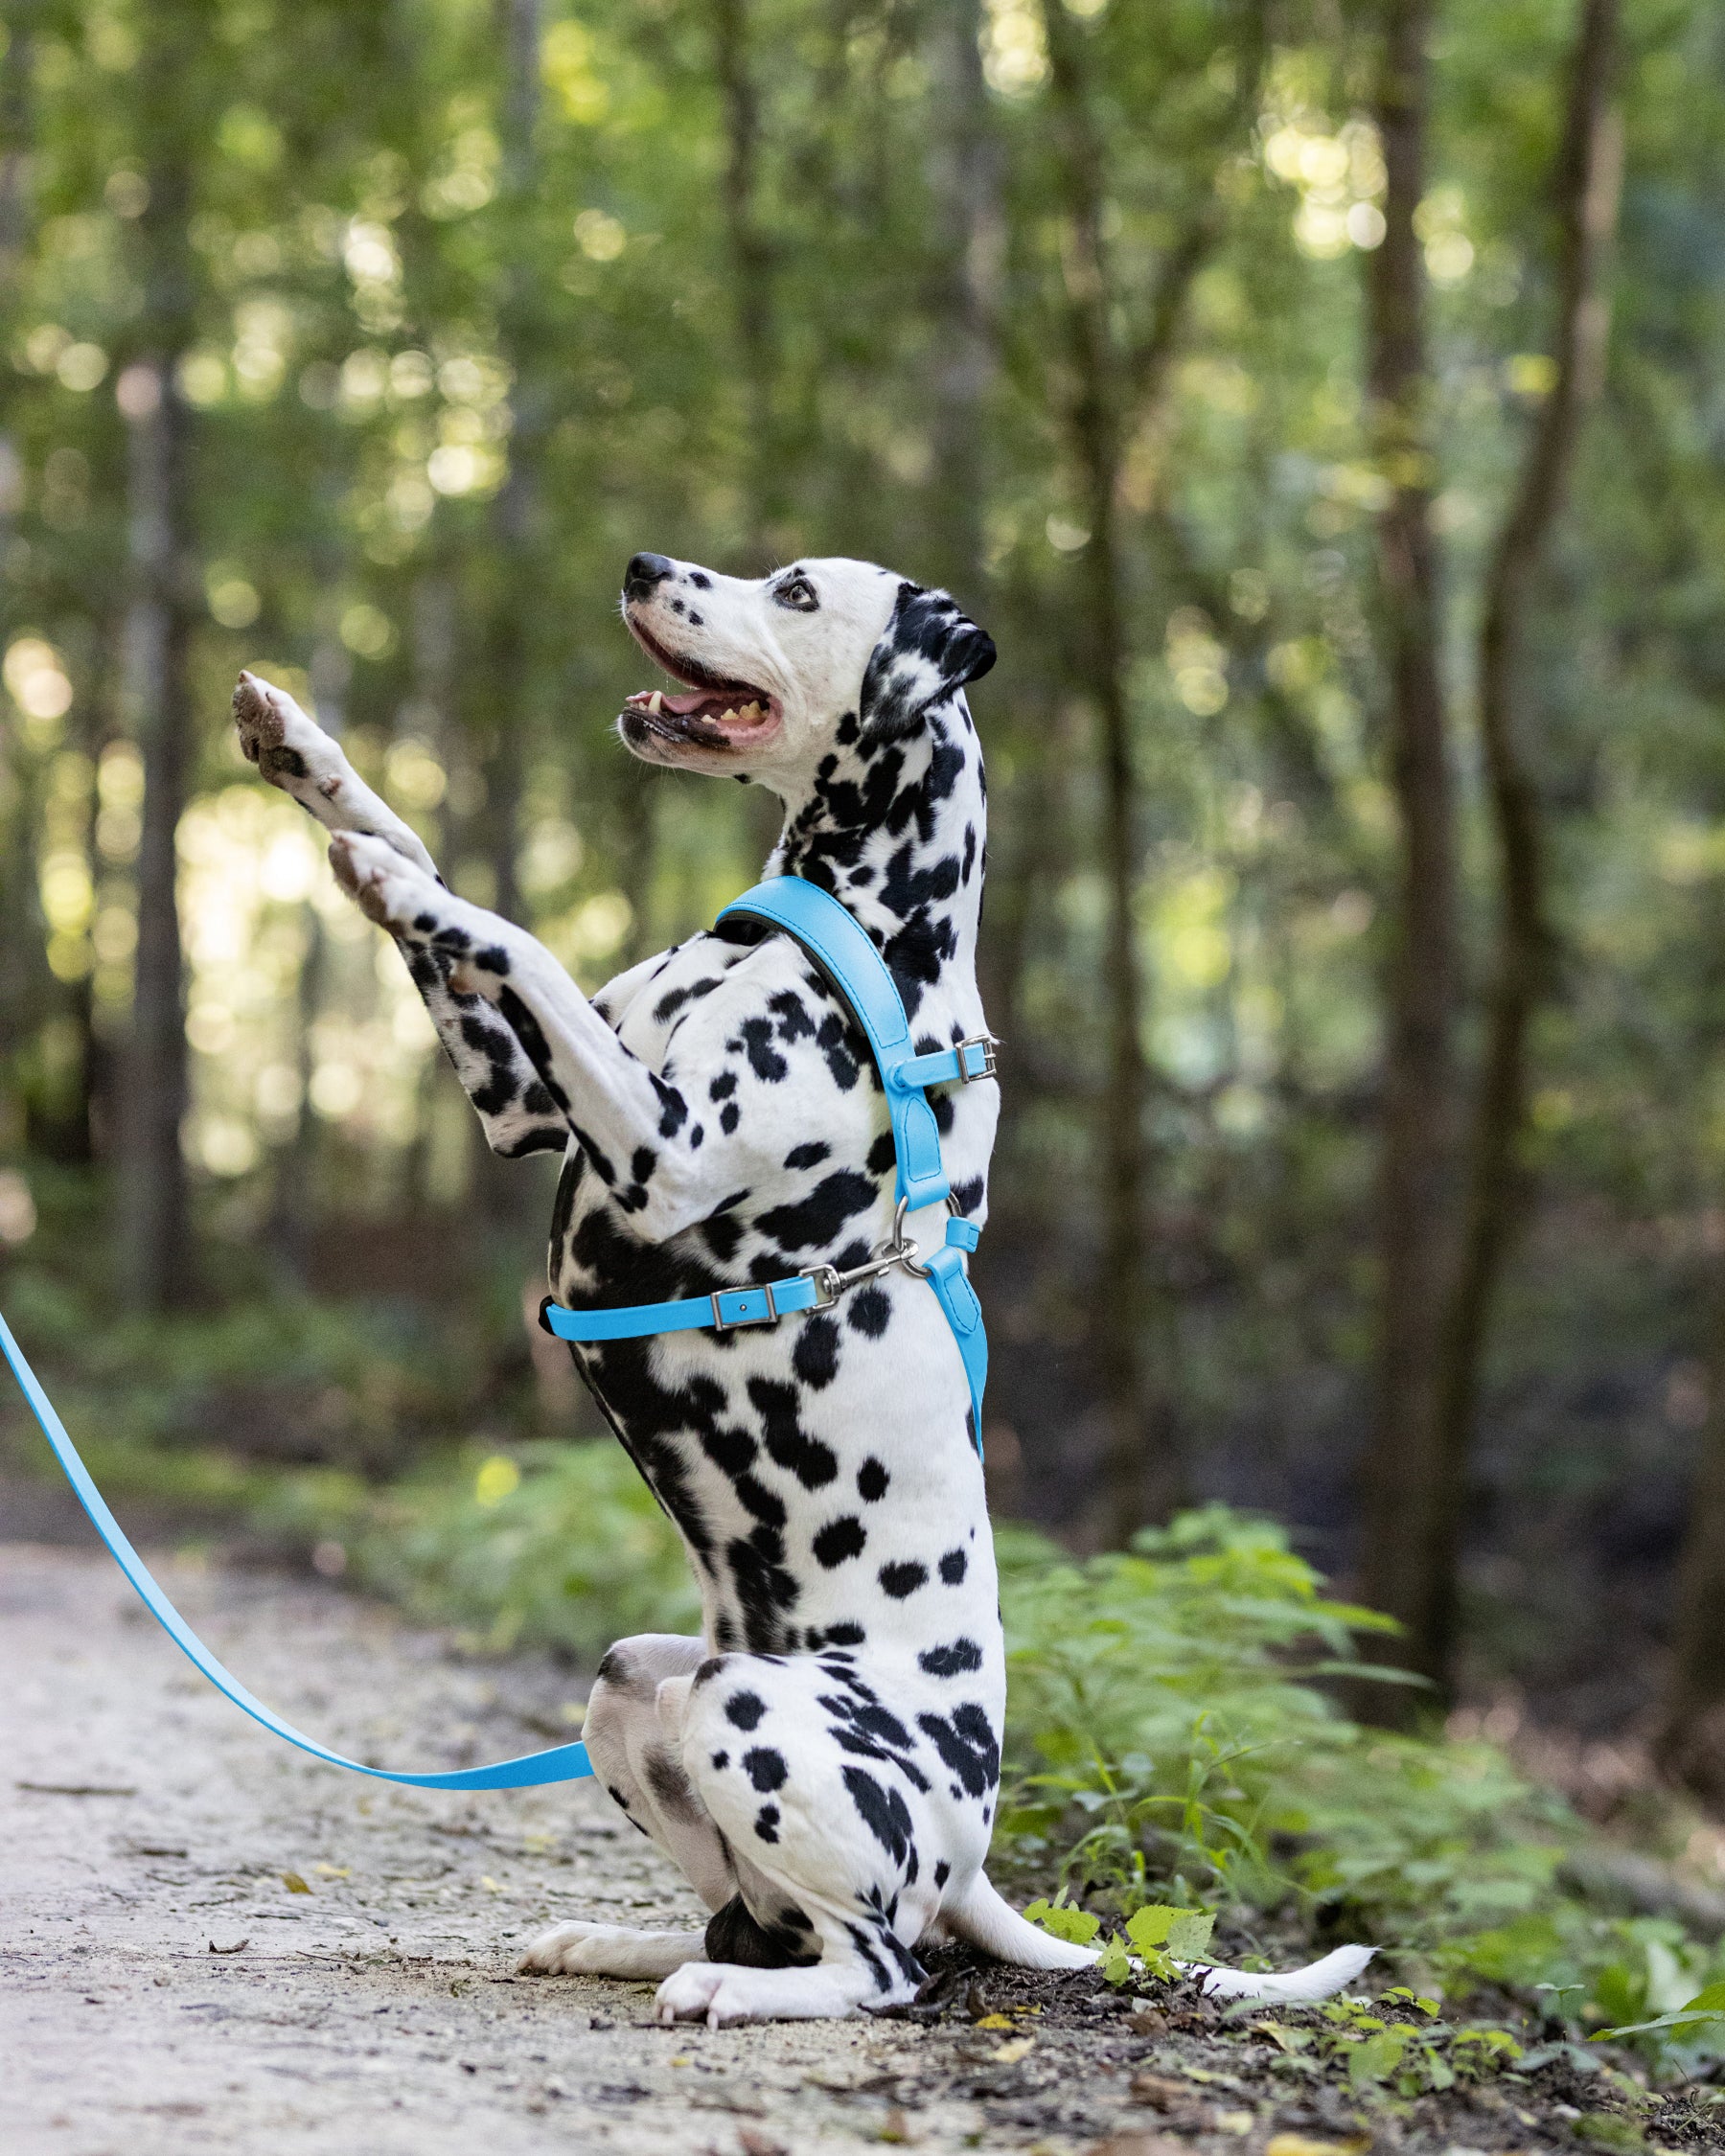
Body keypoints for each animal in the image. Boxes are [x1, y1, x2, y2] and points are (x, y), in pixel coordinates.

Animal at [233, 552, 1371, 2018]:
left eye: (794, 589)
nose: (643, 565)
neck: (856, 931)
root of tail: (970, 1857)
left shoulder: (658, 1147)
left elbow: (507, 928)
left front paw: (379, 867)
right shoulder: (524, 1101)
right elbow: (440, 863)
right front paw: (306, 759)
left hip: (752, 1717)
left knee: (880, 1969)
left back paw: (739, 1993)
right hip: (636, 1685)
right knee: (744, 1916)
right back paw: (629, 1946)